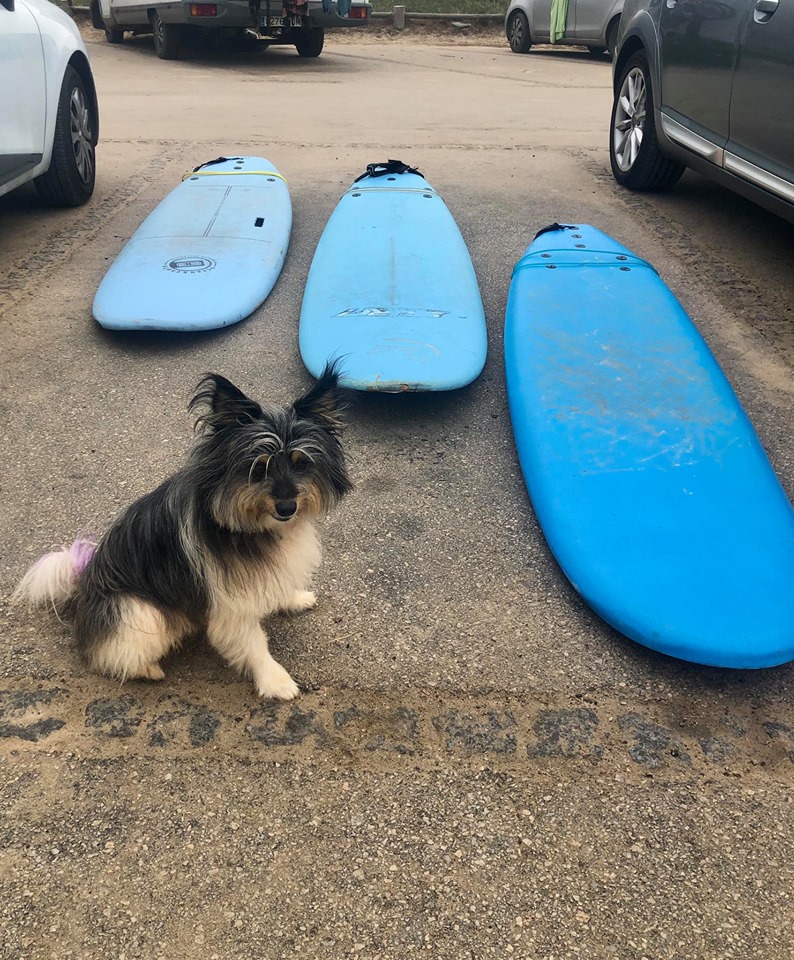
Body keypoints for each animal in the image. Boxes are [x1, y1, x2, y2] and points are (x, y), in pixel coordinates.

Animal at [13, 364, 350, 700]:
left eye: (301, 463)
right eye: (258, 467)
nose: (287, 507)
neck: (251, 527)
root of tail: (81, 589)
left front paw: (293, 599)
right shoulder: (230, 605)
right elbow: (255, 645)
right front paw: (275, 681)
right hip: (139, 611)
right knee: (113, 653)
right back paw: (147, 669)